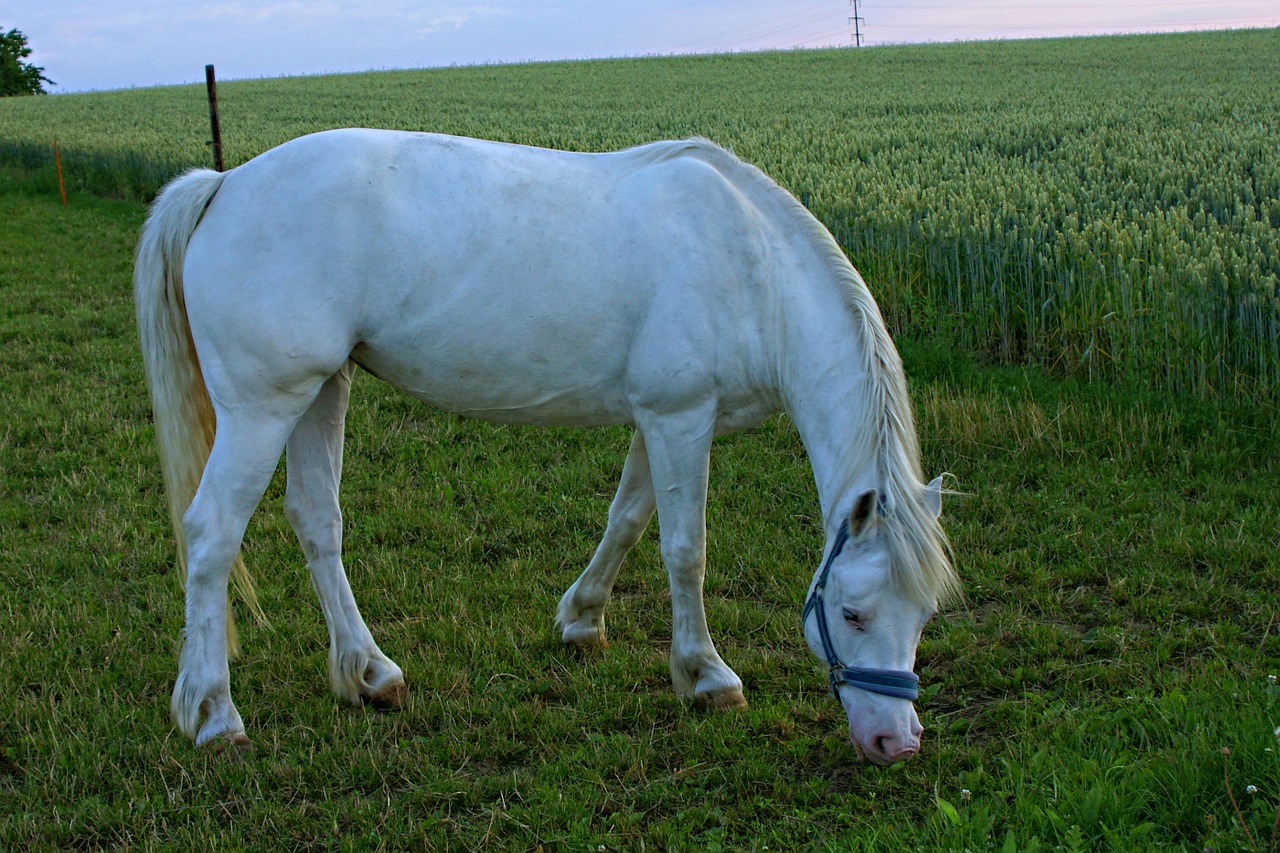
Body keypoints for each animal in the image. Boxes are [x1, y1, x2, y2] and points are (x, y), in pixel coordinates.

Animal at [140, 129, 962, 768]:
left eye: (924, 614)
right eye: (852, 613)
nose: (896, 742)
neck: (751, 263)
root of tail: (223, 184)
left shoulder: (660, 419)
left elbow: (626, 521)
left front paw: (582, 620)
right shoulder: (680, 418)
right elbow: (684, 549)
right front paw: (706, 675)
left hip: (321, 389)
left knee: (317, 521)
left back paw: (371, 674)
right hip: (264, 406)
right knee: (212, 534)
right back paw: (214, 714)